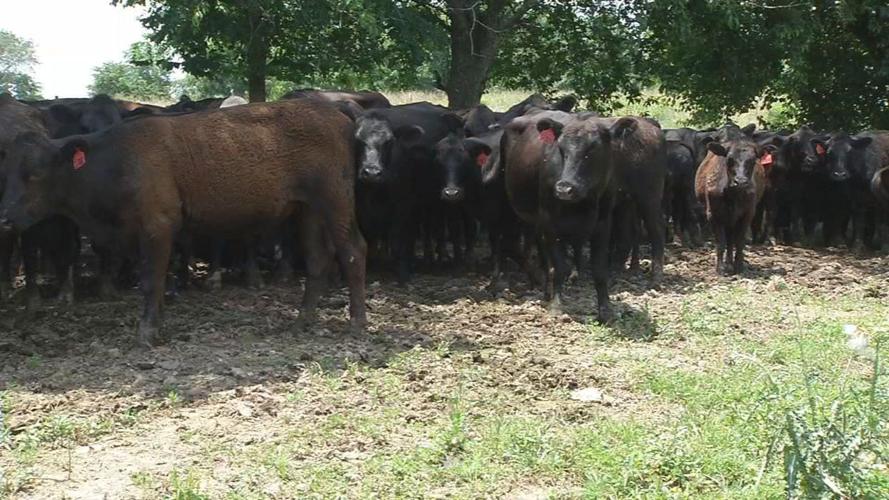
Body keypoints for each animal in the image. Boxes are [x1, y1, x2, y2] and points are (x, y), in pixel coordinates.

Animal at [0, 99, 367, 347]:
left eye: (36, 174)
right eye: (7, 172)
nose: (5, 216)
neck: (119, 160)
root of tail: (333, 111)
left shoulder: (157, 226)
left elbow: (151, 281)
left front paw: (147, 332)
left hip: (336, 201)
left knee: (353, 251)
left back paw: (358, 323)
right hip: (309, 210)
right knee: (318, 259)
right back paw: (303, 319)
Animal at [695, 128, 769, 275]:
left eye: (753, 160)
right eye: (729, 159)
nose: (740, 181)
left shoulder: (748, 214)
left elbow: (739, 241)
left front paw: (739, 266)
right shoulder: (713, 215)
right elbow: (721, 242)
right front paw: (720, 268)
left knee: (731, 240)